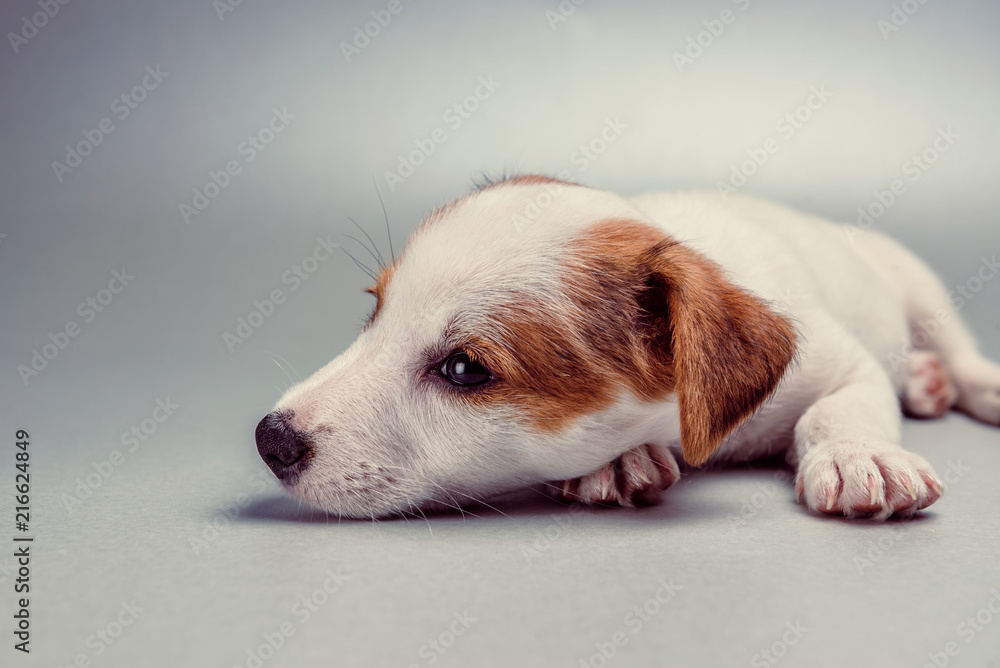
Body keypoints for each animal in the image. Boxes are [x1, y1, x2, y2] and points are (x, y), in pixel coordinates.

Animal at [252, 177, 1000, 520]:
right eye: (374, 313)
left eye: (464, 368)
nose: (269, 439)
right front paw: (622, 460)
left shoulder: (842, 363)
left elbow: (838, 409)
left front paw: (858, 456)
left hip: (914, 280)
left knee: (955, 347)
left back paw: (960, 381)